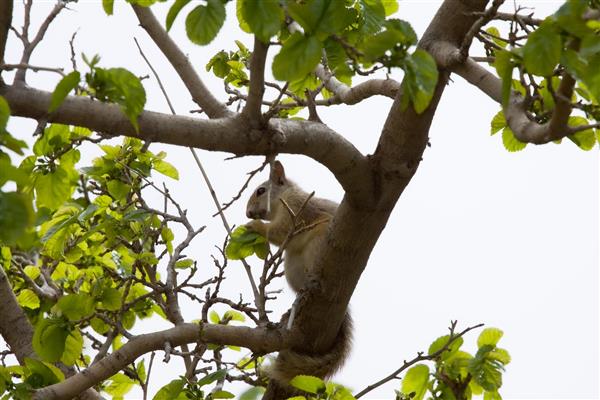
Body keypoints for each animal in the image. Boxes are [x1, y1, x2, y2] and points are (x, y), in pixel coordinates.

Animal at [244, 161, 352, 386]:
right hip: (292, 267)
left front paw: (255, 226)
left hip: (318, 243)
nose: (248, 213)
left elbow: (279, 231)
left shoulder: (296, 211)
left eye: (261, 190)